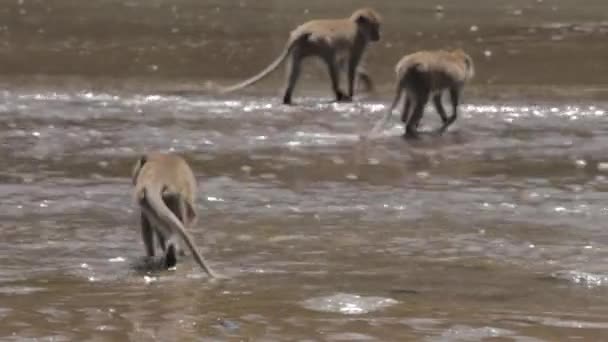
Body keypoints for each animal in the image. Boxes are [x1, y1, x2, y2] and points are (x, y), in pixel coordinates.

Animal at [218, 7, 380, 104]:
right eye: (376, 26)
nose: (378, 36)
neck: (356, 25)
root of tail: (304, 31)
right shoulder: (359, 41)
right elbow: (350, 65)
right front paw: (352, 93)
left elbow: (344, 63)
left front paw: (364, 78)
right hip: (320, 42)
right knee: (331, 58)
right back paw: (339, 93)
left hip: (302, 47)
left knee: (296, 69)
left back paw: (287, 98)